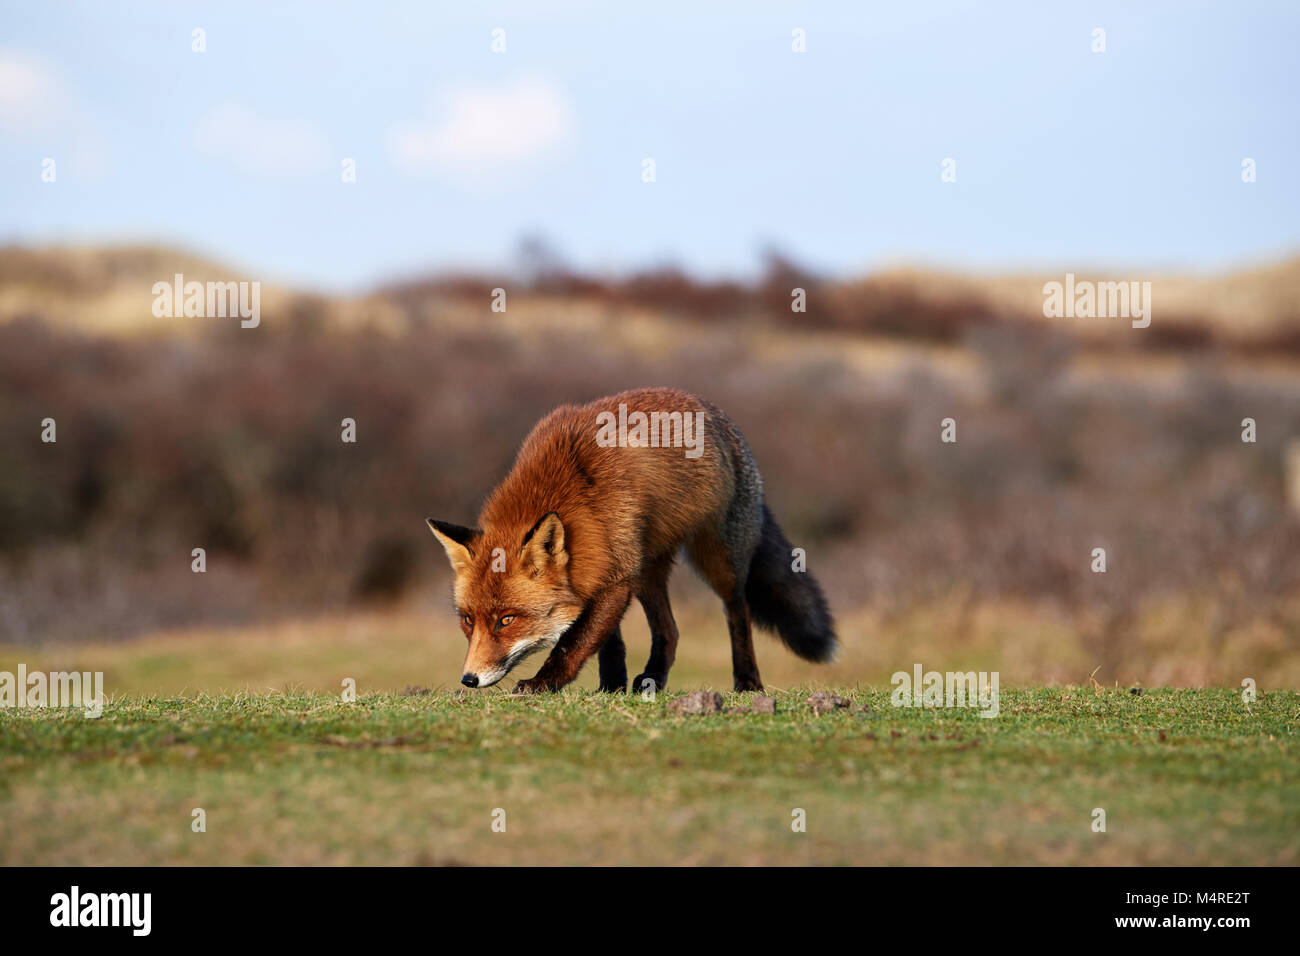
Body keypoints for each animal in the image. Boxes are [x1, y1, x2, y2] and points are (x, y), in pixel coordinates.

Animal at [426, 387, 832, 697]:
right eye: (467, 620)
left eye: (507, 619)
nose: (469, 679)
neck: (573, 493)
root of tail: (715, 411)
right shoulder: (602, 572)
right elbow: (607, 641)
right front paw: (612, 685)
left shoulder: (617, 576)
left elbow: (574, 642)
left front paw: (544, 683)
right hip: (648, 570)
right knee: (670, 630)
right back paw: (652, 678)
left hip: (719, 561)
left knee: (738, 611)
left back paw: (747, 681)